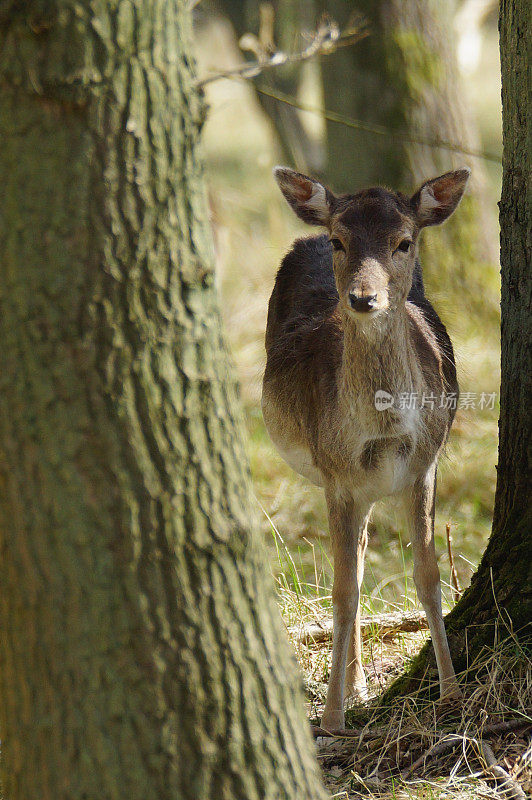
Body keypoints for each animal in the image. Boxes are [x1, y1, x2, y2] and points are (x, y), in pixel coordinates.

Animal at [262, 166, 470, 728]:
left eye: (404, 242)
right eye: (341, 240)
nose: (362, 298)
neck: (383, 429)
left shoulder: (425, 463)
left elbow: (427, 574)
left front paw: (450, 693)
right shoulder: (336, 473)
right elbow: (342, 590)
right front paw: (334, 717)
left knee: (358, 557)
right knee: (351, 570)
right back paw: (353, 686)